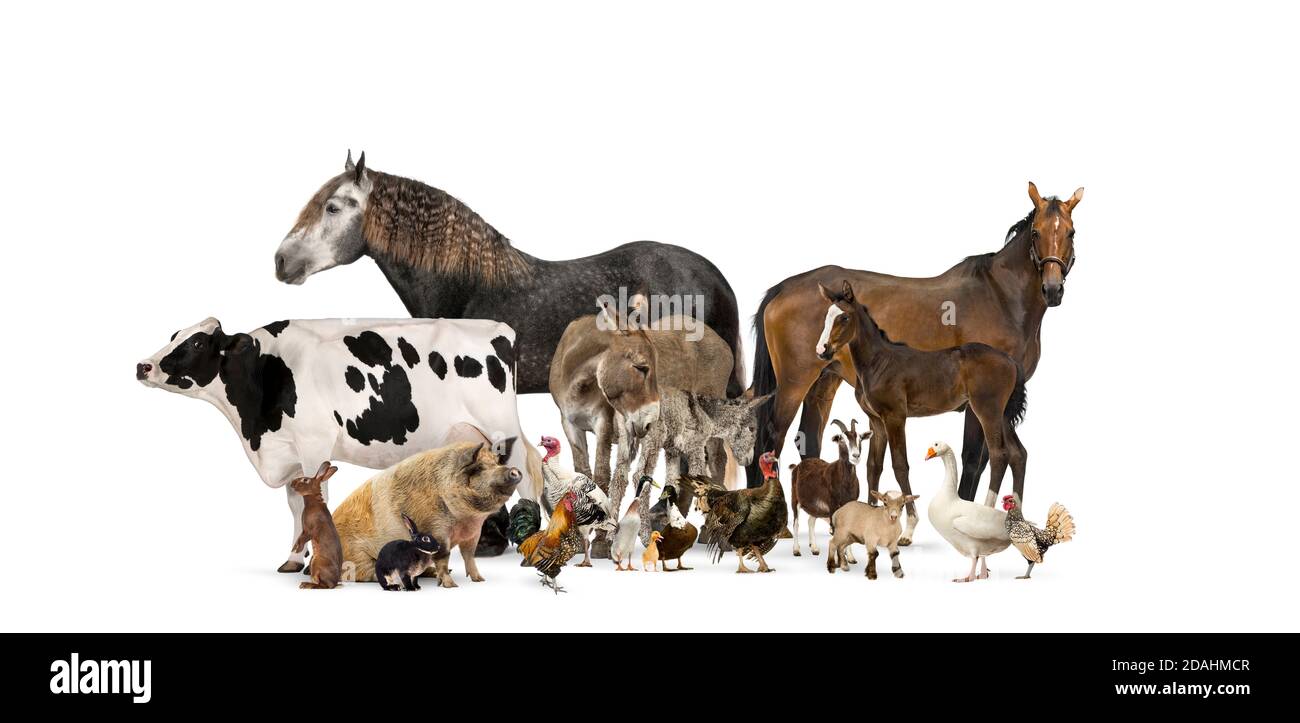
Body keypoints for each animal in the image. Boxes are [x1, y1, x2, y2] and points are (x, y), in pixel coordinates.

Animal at [141, 315, 543, 569]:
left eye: (197, 342)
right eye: (174, 334)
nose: (143, 366)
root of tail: (499, 327)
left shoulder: (314, 443)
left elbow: (316, 499)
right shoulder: (290, 453)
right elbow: (295, 505)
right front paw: (293, 559)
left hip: (501, 428)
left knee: (524, 479)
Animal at [748, 180, 1081, 501]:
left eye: (1071, 232)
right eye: (1036, 232)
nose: (1053, 289)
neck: (1000, 295)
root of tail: (782, 287)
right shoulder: (977, 406)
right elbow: (973, 458)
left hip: (824, 381)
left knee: (808, 440)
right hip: (793, 383)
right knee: (770, 438)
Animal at [785, 421, 868, 556]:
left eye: (860, 439)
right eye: (841, 439)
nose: (856, 456)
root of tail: (797, 466)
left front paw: (851, 557)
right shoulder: (833, 506)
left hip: (814, 505)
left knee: (811, 521)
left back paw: (814, 548)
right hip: (795, 498)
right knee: (796, 523)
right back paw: (796, 550)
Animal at [821, 279, 1024, 538]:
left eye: (844, 317)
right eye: (826, 316)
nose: (822, 350)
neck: (879, 362)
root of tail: (1010, 360)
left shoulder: (895, 417)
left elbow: (900, 466)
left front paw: (909, 529)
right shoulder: (876, 421)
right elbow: (873, 466)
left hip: (987, 411)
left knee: (999, 455)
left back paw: (986, 512)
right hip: (1003, 415)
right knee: (1018, 454)